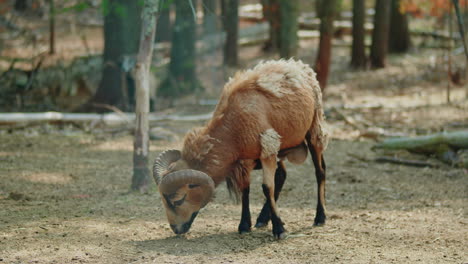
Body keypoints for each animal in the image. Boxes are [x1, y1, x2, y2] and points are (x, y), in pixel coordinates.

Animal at [154, 58, 330, 239]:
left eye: (178, 200)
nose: (176, 229)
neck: (232, 127)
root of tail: (299, 65)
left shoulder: (267, 149)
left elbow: (267, 187)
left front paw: (279, 230)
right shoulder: (247, 159)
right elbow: (246, 189)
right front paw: (245, 225)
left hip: (313, 130)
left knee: (320, 171)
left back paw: (320, 217)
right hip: (280, 147)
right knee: (282, 175)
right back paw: (262, 219)